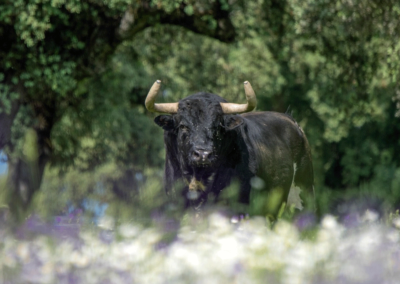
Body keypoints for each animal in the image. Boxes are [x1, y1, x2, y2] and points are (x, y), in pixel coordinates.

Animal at [145, 81, 314, 219]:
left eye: (218, 127)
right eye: (183, 126)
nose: (203, 154)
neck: (199, 178)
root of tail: (291, 120)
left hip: (302, 192)